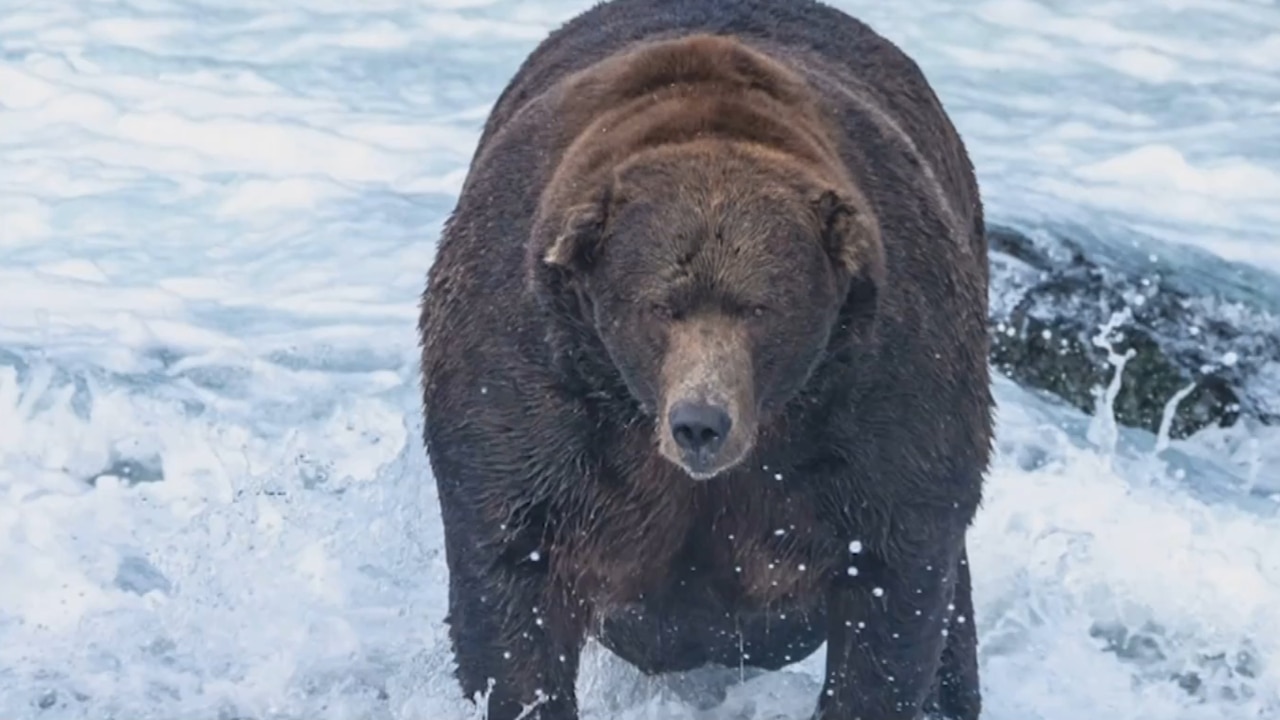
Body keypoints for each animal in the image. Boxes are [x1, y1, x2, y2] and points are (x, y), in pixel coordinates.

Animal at [419, 1, 988, 717]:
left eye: (760, 308)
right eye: (660, 307)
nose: (700, 423)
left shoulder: (886, 385)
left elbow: (893, 587)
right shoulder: (530, 374)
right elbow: (513, 575)